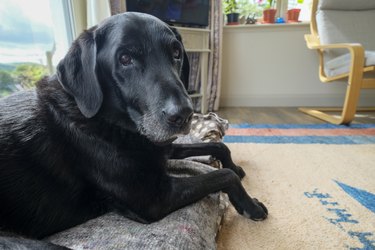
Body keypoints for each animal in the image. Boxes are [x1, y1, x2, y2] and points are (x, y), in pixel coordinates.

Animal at [0, 12, 268, 241]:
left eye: (176, 53)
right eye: (125, 59)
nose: (184, 115)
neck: (108, 122)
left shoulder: (160, 147)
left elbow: (219, 147)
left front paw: (235, 166)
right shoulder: (153, 198)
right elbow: (222, 175)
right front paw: (251, 206)